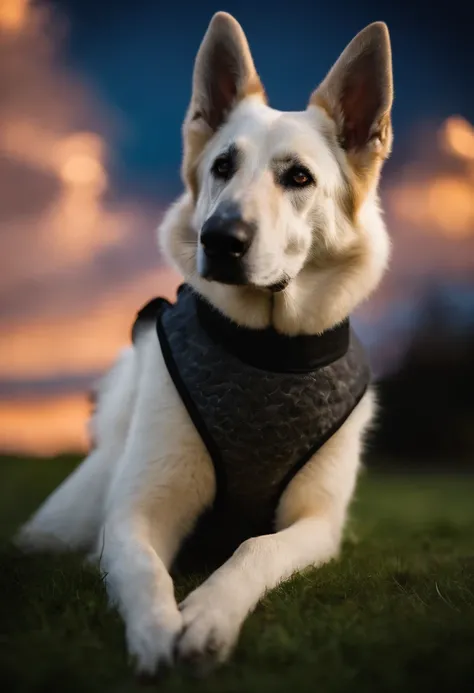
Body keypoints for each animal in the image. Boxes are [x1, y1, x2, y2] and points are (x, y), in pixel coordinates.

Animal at [16, 13, 394, 676]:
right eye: (222, 167)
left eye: (298, 177)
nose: (220, 239)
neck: (266, 350)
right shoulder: (134, 515)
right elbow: (144, 571)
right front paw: (156, 631)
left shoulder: (317, 524)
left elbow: (254, 547)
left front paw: (210, 615)